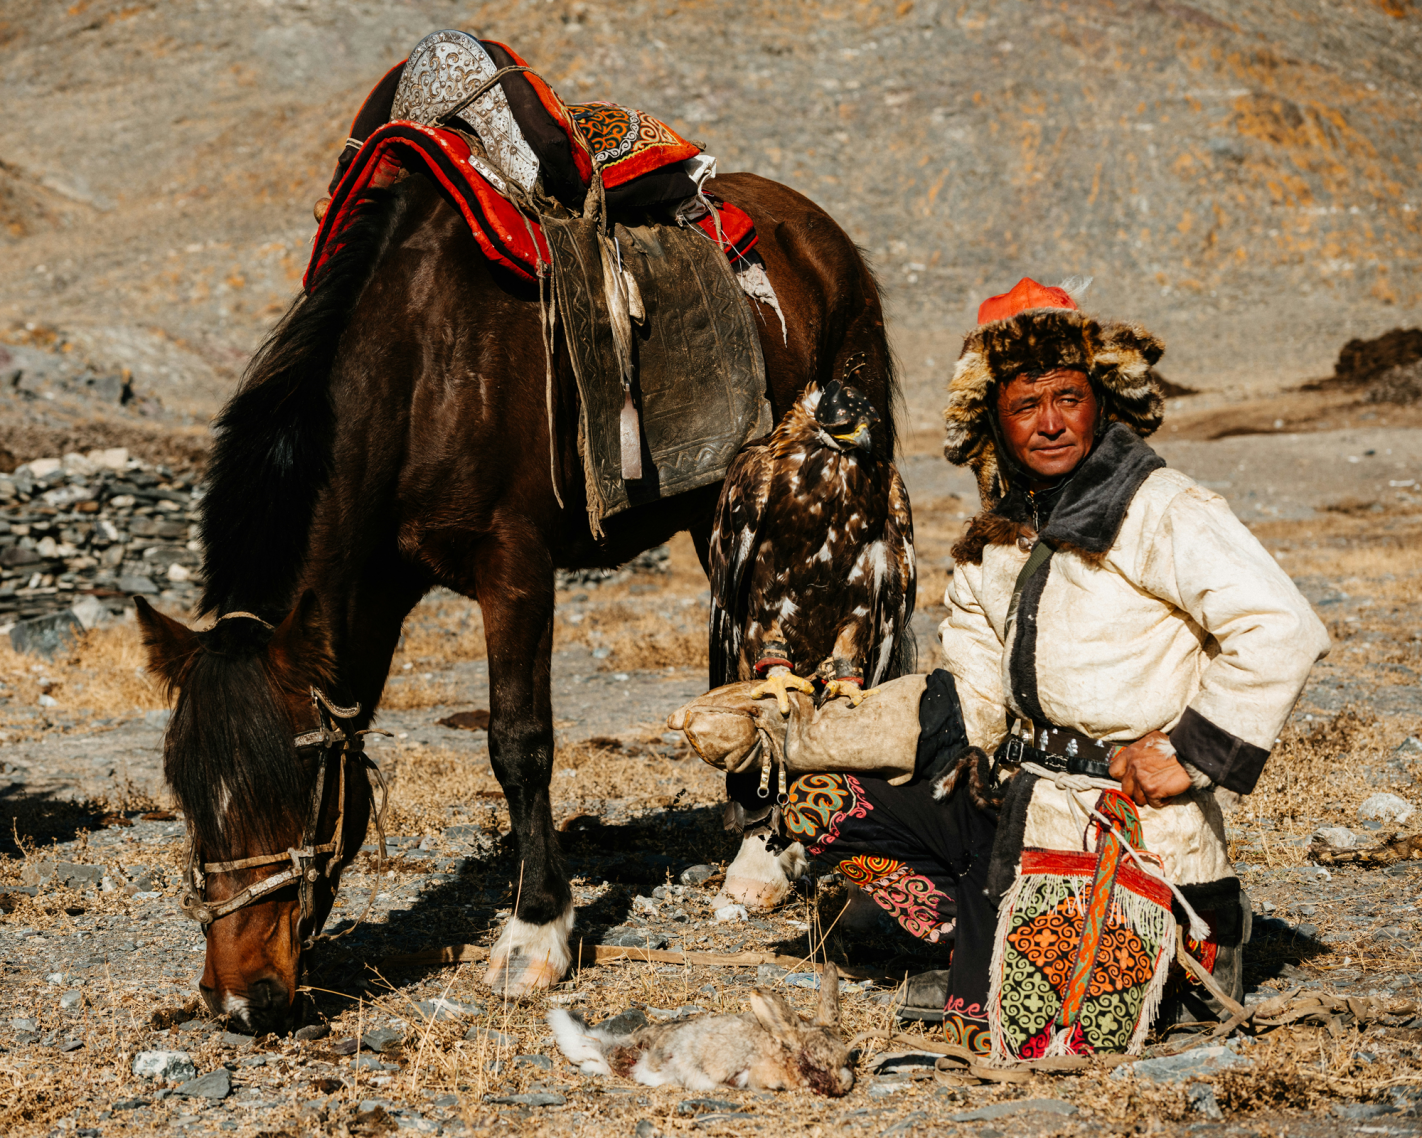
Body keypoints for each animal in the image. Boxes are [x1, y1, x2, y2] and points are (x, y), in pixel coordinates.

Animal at [138, 169, 904, 1029]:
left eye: (295, 784)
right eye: (185, 793)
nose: (238, 999)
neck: (423, 372)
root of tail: (813, 225)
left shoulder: (515, 565)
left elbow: (519, 743)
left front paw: (535, 932)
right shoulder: (377, 593)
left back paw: (764, 860)